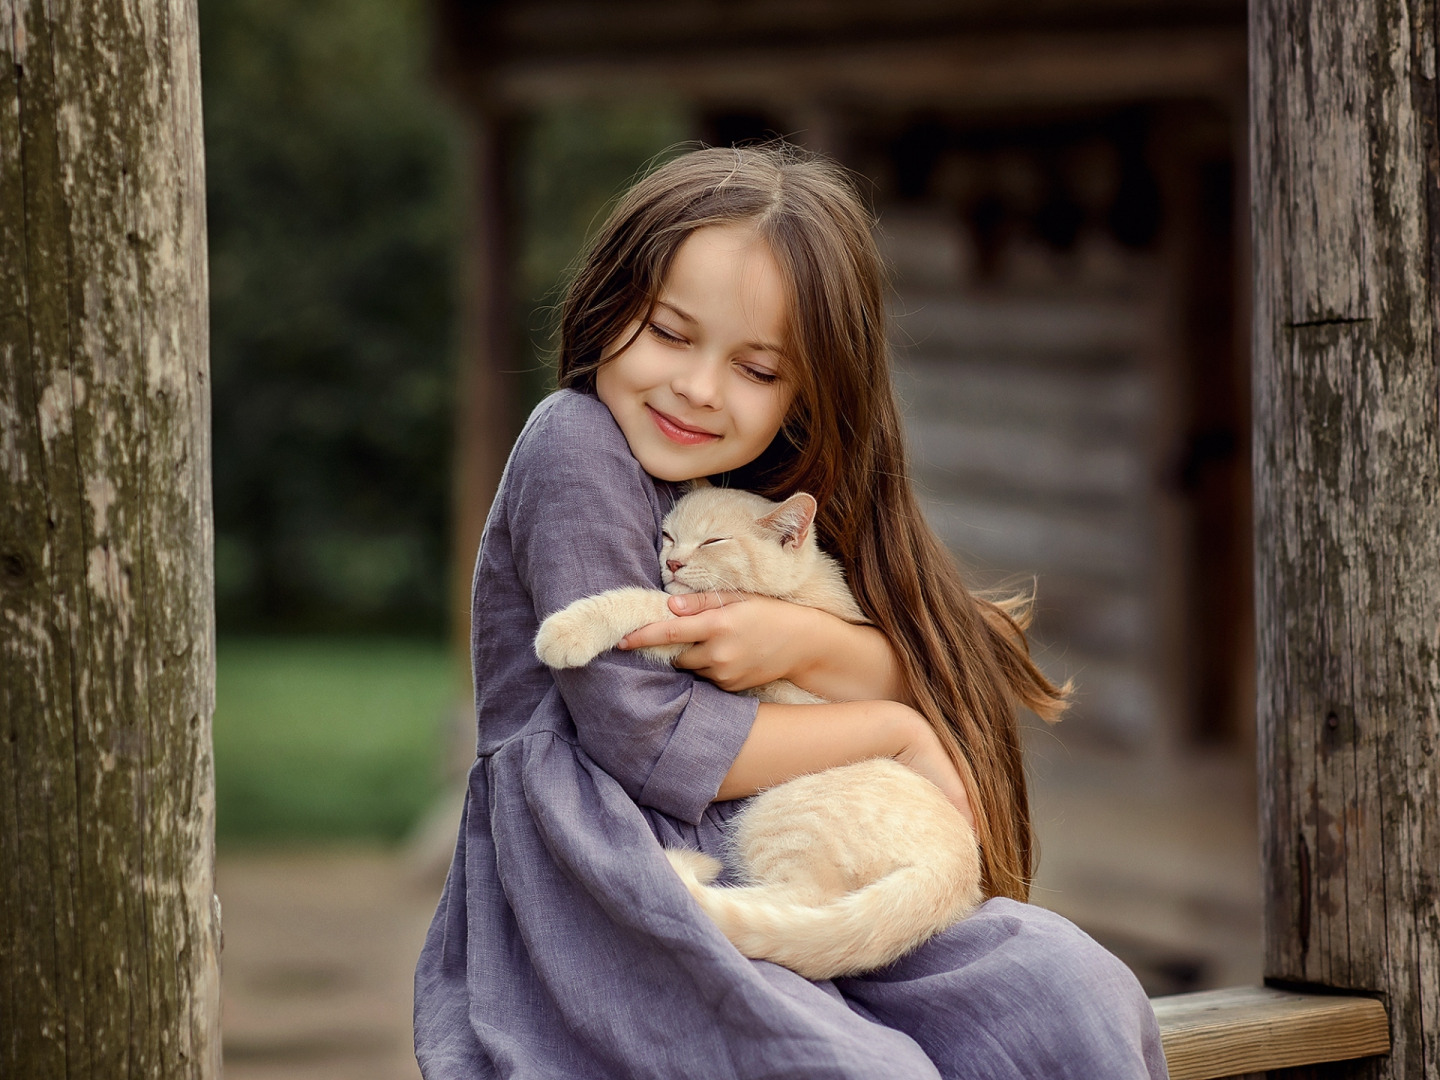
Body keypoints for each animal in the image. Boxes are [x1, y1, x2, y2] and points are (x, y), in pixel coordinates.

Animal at [535, 489, 984, 979]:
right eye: (668, 535)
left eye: (713, 540)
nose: (672, 562)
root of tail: (951, 872)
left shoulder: (711, 629)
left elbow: (647, 603)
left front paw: (567, 630)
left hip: (778, 814)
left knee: (792, 906)